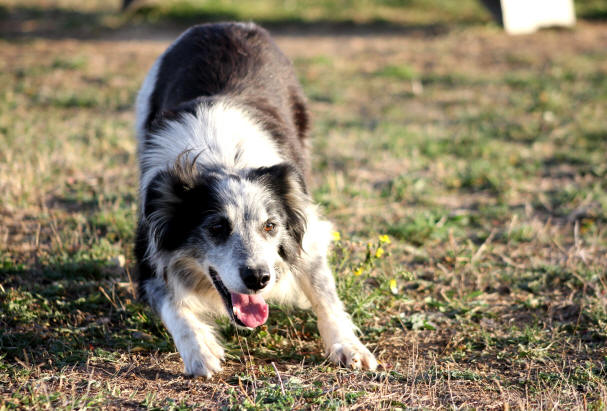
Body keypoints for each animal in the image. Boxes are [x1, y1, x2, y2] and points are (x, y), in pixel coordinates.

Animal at [135, 21, 378, 376]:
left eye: (270, 226)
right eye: (217, 228)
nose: (259, 279)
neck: (223, 160)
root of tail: (225, 24)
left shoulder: (307, 227)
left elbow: (324, 291)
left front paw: (348, 346)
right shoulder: (148, 241)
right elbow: (172, 303)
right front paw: (200, 349)